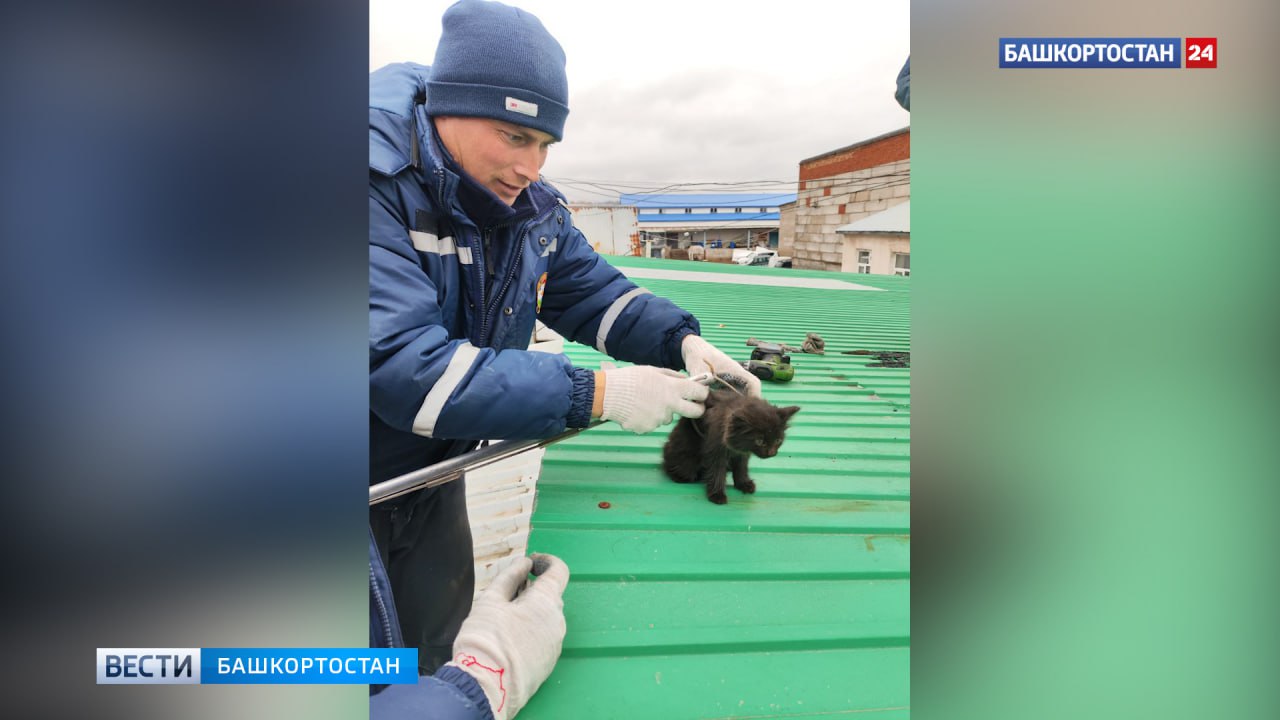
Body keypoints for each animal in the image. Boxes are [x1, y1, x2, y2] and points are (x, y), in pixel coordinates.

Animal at [660, 389, 798, 502]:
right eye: (759, 441)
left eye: (778, 440)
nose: (772, 453)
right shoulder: (716, 450)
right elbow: (717, 472)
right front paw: (717, 495)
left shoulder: (742, 453)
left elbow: (741, 468)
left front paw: (743, 484)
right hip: (685, 459)